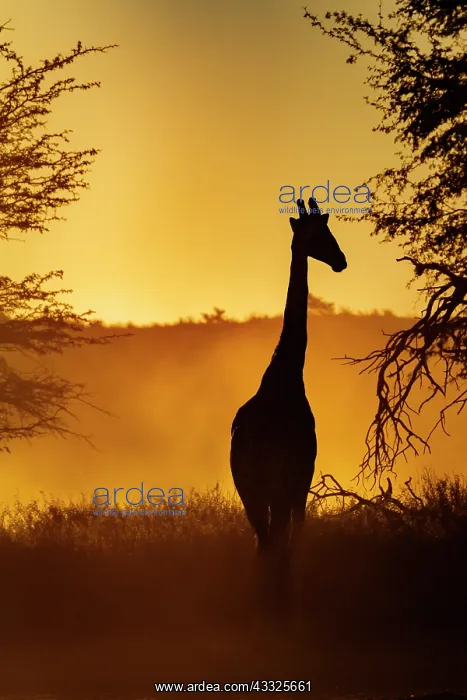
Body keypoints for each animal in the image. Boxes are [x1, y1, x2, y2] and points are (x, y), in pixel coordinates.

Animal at [230, 196, 347, 595]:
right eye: (321, 234)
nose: (341, 260)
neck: (287, 373)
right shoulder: (303, 475)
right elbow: (297, 536)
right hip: (277, 485)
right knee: (277, 538)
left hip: (248, 488)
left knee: (263, 540)